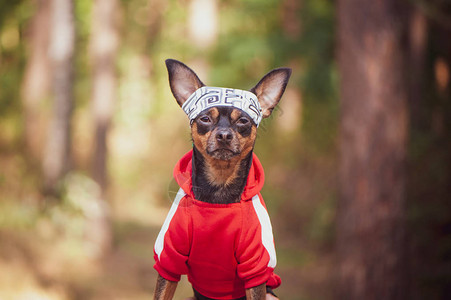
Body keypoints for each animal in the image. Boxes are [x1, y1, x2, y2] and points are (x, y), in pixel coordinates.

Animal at [154, 59, 292, 300]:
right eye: (205, 119)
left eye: (244, 121)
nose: (224, 135)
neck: (219, 187)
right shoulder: (167, 261)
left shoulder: (256, 270)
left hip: (271, 295)